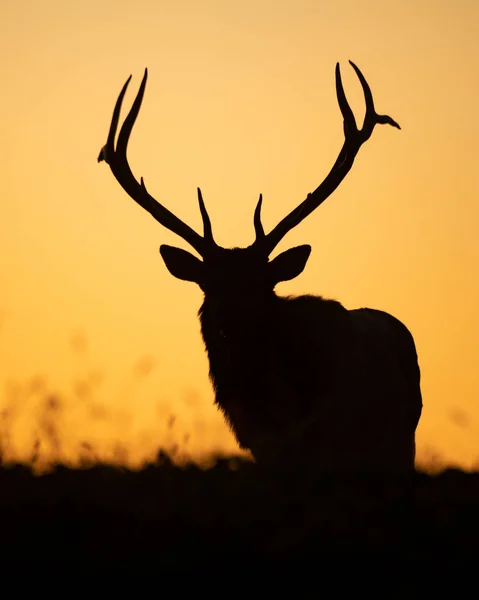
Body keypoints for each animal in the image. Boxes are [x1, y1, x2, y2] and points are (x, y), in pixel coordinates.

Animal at [98, 61, 424, 474]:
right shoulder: (264, 451)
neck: (279, 407)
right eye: (208, 284)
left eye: (261, 283)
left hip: (400, 444)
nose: (228, 320)